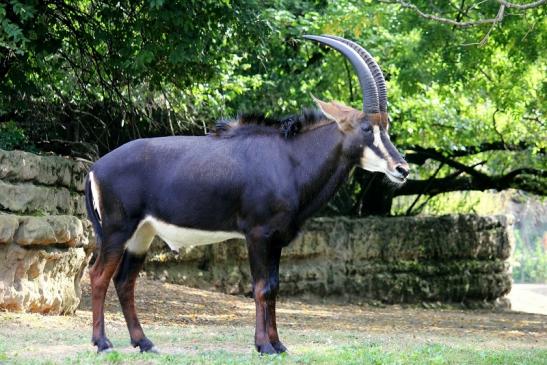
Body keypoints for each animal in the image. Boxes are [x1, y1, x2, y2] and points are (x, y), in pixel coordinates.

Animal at [85, 34, 408, 352]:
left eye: (386, 126)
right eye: (366, 128)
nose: (402, 168)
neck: (290, 158)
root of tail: (96, 168)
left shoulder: (277, 238)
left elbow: (275, 287)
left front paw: (278, 344)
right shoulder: (257, 234)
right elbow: (262, 288)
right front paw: (264, 345)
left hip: (142, 234)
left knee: (125, 281)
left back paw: (144, 342)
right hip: (117, 230)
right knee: (99, 276)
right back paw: (103, 343)